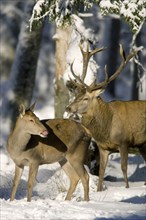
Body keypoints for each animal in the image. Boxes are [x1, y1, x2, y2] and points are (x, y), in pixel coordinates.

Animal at [66, 42, 146, 192]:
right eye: (76, 95)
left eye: (86, 98)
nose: (68, 108)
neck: (106, 129)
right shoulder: (103, 147)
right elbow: (102, 171)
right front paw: (98, 190)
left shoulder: (124, 141)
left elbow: (124, 167)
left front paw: (127, 188)